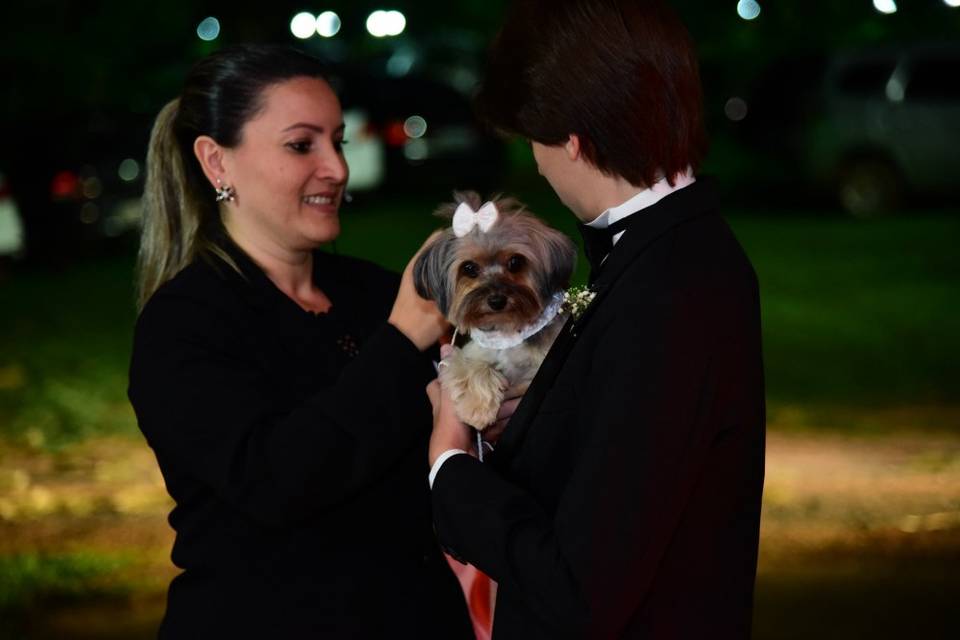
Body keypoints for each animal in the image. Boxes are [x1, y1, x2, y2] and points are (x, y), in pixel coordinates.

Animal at [414, 191, 576, 430]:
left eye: (515, 262)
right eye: (469, 268)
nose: (497, 300)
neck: (507, 327)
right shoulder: (469, 354)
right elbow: (471, 366)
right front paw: (477, 408)